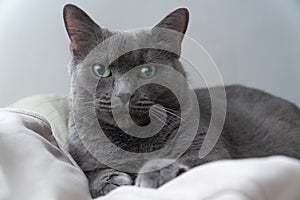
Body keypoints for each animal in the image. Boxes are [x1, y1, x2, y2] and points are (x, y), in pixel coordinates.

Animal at [62, 3, 300, 198]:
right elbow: (91, 174)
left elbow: (187, 159)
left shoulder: (212, 152)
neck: (133, 140)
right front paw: (110, 182)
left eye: (148, 71)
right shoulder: (81, 156)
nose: (124, 93)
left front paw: (153, 174)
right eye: (101, 70)